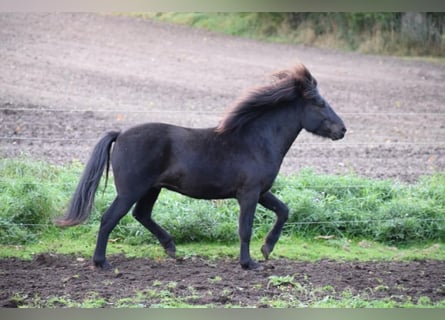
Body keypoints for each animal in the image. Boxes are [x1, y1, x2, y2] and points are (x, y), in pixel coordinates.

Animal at [54, 64, 346, 270]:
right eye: (319, 103)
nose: (342, 130)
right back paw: (101, 262)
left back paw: (172, 249)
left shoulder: (261, 192)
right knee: (109, 219)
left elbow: (283, 211)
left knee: (141, 215)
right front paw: (248, 263)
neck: (256, 140)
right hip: (131, 191)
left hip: (152, 189)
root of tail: (121, 134)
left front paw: (267, 249)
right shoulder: (249, 194)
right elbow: (245, 228)